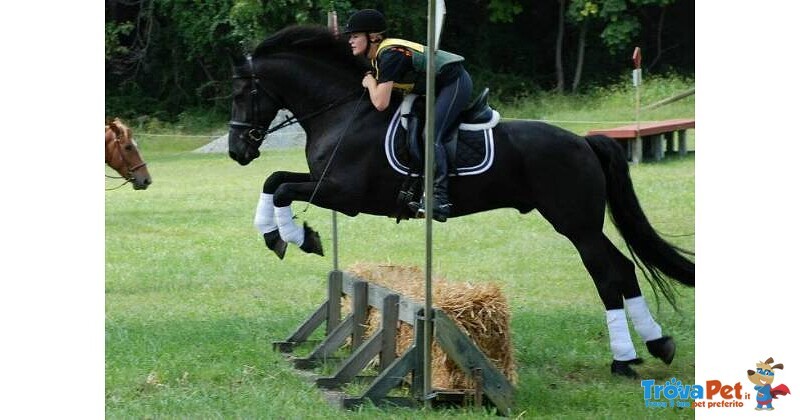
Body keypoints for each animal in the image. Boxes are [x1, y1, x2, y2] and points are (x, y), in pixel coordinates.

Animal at [227, 25, 692, 378]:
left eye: (242, 95)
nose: (236, 151)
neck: (345, 112)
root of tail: (584, 141)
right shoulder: (326, 183)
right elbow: (274, 181)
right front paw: (280, 234)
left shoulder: (346, 193)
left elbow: (281, 187)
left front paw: (294, 237)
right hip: (583, 224)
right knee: (624, 268)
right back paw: (658, 343)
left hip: (576, 224)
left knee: (607, 273)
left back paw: (624, 359)